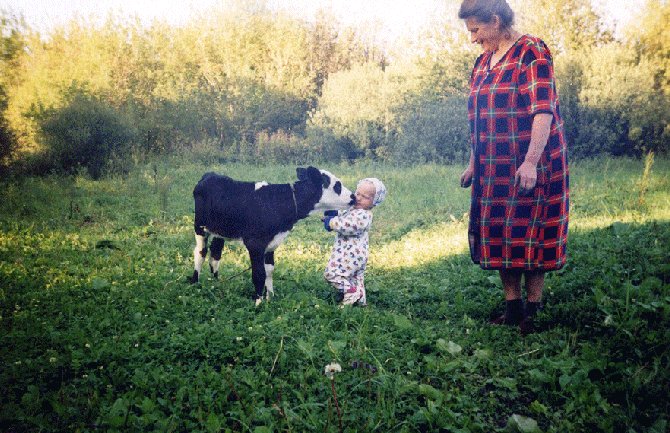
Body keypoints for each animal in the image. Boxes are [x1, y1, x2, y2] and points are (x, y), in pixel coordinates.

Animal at [190, 165, 354, 304]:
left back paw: (215, 281)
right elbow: (259, 274)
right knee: (201, 252)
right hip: (199, 226)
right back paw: (194, 283)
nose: (353, 197)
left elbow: (269, 271)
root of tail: (210, 174)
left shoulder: (272, 243)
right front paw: (258, 302)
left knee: (215, 254)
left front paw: (270, 297)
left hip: (220, 231)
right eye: (337, 185)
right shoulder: (255, 243)